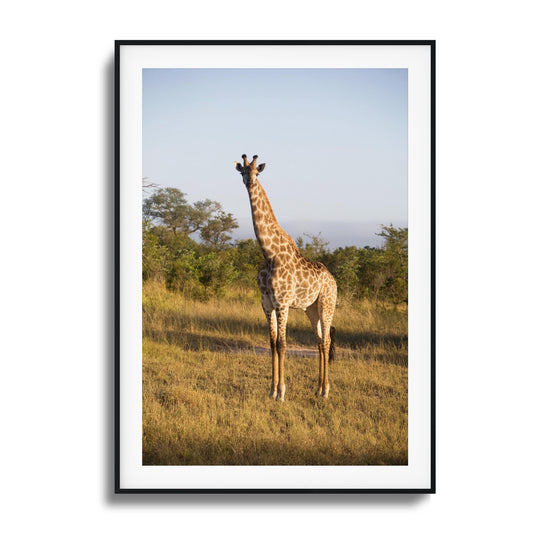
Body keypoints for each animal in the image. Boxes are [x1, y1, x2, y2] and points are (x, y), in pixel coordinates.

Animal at [234, 153, 336, 400]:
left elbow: (282, 344)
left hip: (327, 304)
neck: (269, 253)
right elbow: (272, 343)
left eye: (257, 172)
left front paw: (281, 392)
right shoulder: (266, 303)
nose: (250, 182)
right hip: (311, 309)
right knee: (319, 341)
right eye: (243, 172)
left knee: (327, 340)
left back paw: (326, 390)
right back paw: (318, 389)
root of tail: (334, 280)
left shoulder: (283, 302)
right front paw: (271, 390)